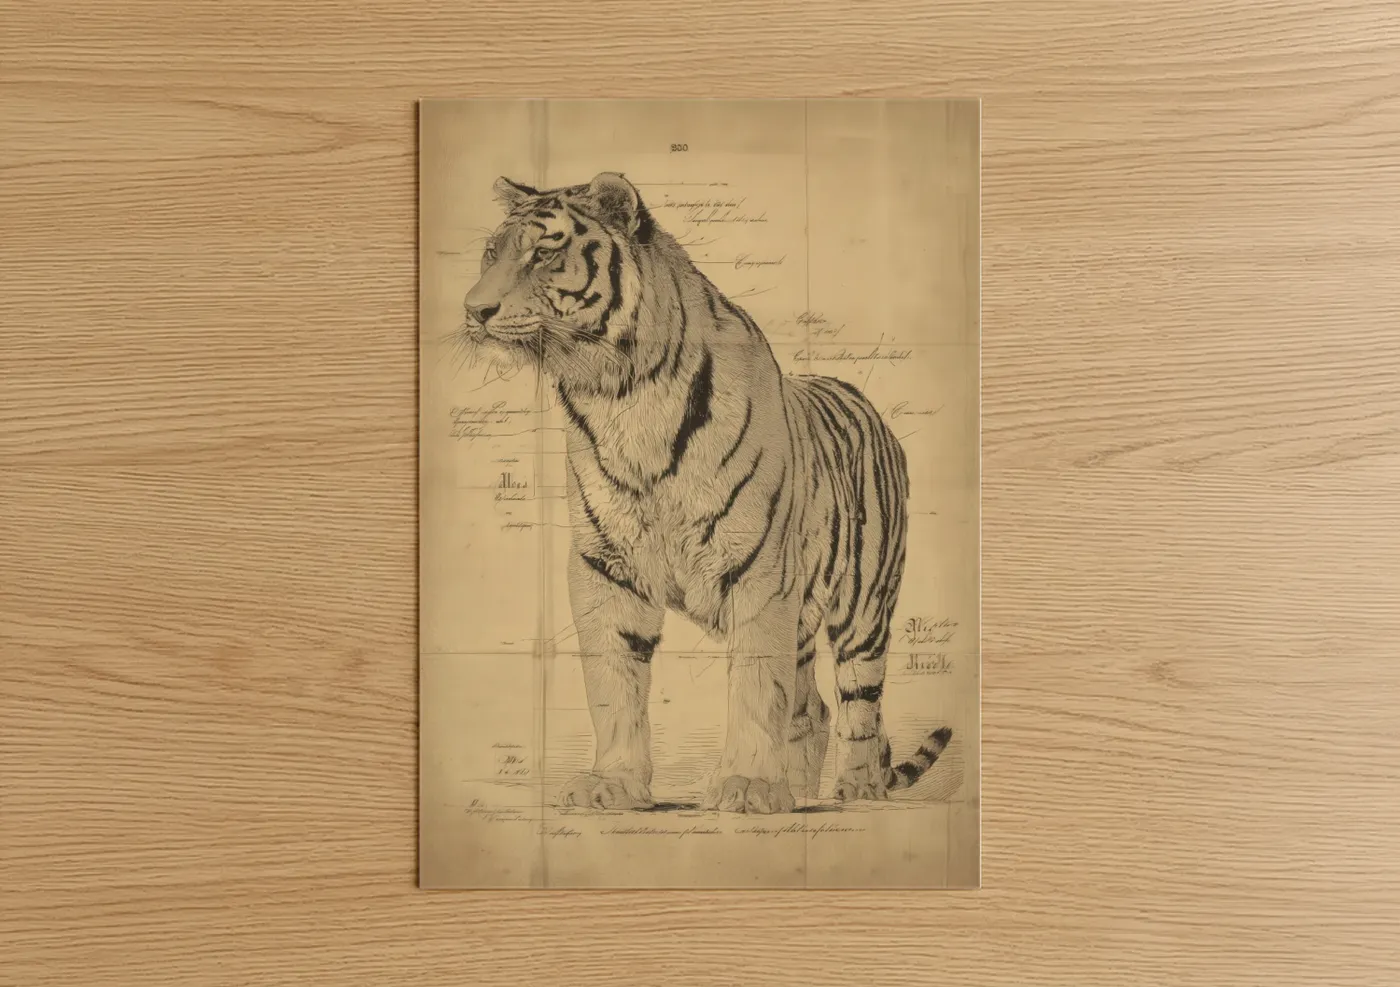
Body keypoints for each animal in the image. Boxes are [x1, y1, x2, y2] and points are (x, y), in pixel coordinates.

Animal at [461, 171, 951, 814]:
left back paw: (857, 788)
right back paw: (799, 791)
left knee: (857, 706)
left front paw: (746, 787)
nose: (474, 309)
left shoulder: (759, 567)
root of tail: (869, 408)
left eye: (543, 253)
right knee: (812, 708)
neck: (619, 393)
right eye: (491, 253)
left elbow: (754, 688)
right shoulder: (603, 568)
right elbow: (612, 684)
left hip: (863, 608)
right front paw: (612, 784)